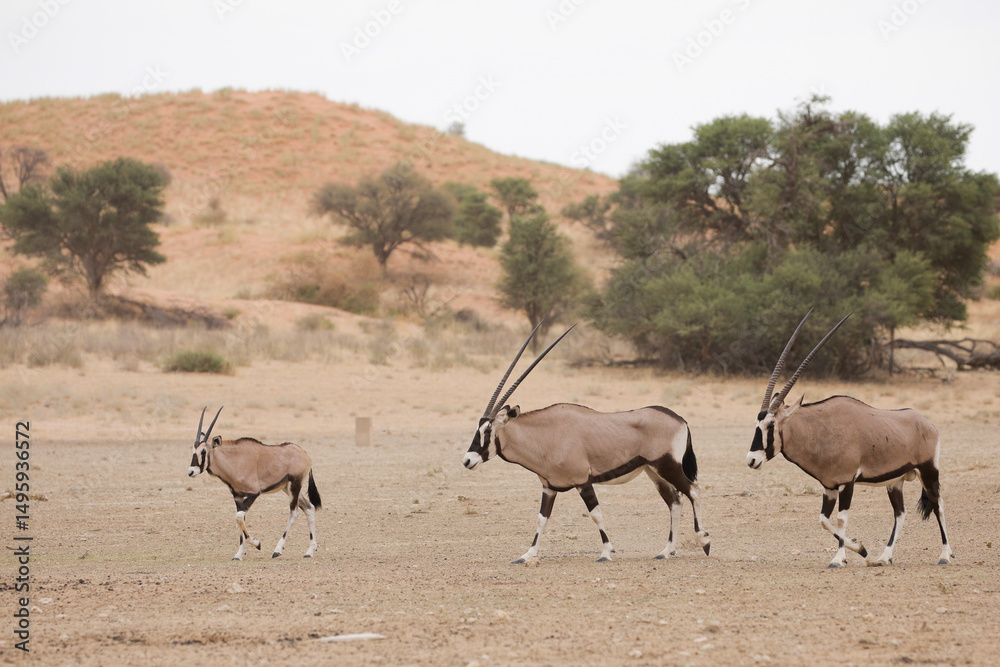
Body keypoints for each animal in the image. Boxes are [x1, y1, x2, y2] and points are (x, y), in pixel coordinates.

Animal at [187, 407, 322, 561]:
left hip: (295, 485)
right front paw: (239, 554)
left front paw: (257, 544)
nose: (191, 471)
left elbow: (239, 517)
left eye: (203, 451)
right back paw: (310, 551)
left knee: (294, 512)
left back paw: (278, 550)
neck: (235, 460)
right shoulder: (238, 496)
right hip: (288, 488)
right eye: (193, 451)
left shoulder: (253, 493)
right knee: (309, 508)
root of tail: (304, 454)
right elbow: (241, 519)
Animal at [463, 324, 710, 563]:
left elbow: (595, 514)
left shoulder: (583, 481)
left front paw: (606, 553)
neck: (546, 434)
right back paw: (666, 551)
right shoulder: (548, 487)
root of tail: (680, 419)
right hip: (654, 471)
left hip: (667, 465)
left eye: (487, 430)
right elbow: (542, 518)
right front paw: (527, 555)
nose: (467, 460)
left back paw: (704, 541)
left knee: (693, 490)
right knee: (674, 501)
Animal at [747, 311, 953, 568]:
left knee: (938, 505)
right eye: (756, 424)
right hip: (895, 481)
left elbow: (841, 520)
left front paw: (841, 557)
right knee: (900, 512)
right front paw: (859, 550)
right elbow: (824, 520)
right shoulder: (829, 486)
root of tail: (928, 423)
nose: (752, 460)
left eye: (771, 425)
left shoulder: (847, 483)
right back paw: (884, 557)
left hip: (928, 471)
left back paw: (944, 555)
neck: (821, 429)